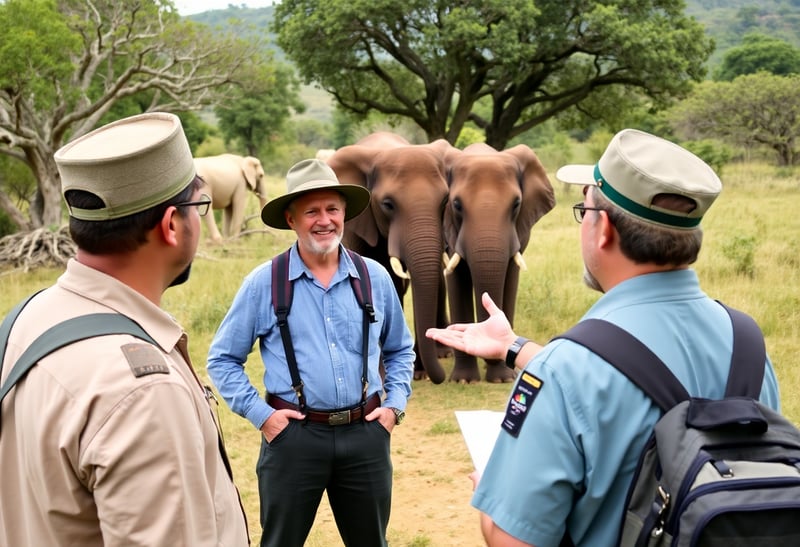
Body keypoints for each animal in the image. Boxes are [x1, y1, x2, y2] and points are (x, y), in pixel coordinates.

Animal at [444, 143, 556, 384]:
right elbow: (456, 280)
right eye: (456, 204)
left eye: (516, 204)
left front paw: (502, 379)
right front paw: (464, 381)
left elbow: (511, 278)